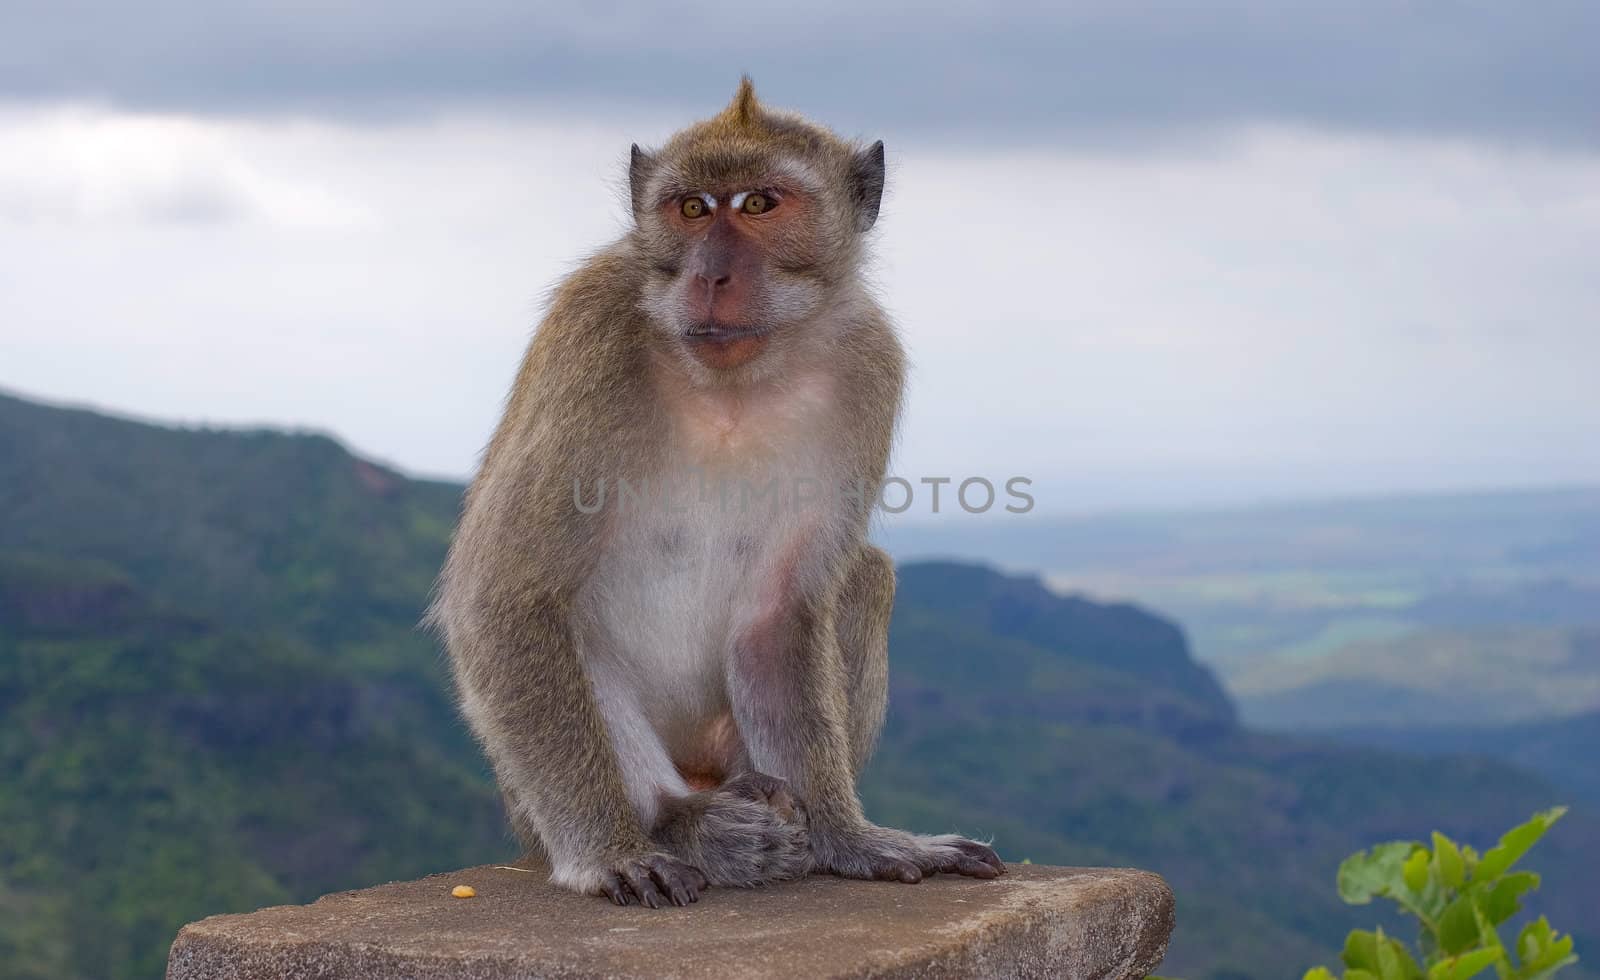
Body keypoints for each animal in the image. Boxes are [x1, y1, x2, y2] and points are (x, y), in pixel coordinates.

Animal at [425, 78, 998, 909]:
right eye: (691, 208)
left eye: (759, 203)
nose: (710, 275)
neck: (734, 380)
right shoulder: (591, 338)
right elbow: (504, 594)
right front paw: (611, 855)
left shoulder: (869, 365)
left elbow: (778, 616)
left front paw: (850, 839)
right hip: (532, 798)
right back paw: (686, 821)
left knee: (865, 576)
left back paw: (767, 803)